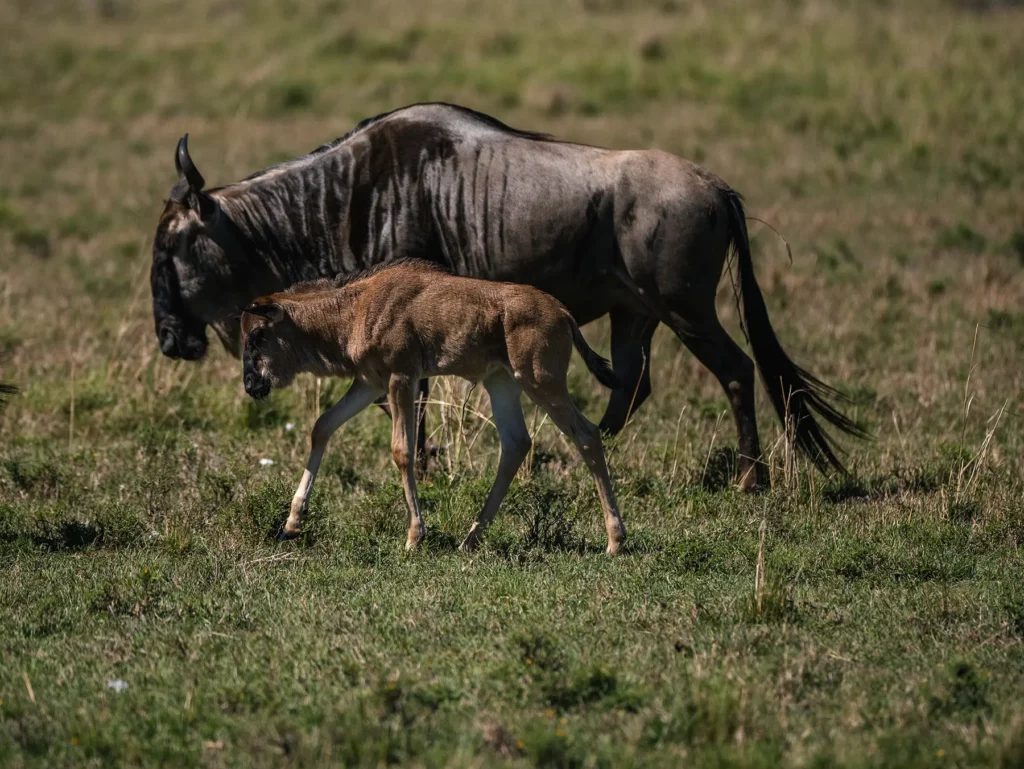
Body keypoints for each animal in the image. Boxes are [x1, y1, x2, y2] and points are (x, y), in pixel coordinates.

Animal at [240, 260, 627, 555]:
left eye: (258, 335)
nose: (250, 385)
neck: (357, 307)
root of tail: (563, 313)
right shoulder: (368, 382)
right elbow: (322, 426)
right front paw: (291, 524)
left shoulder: (401, 378)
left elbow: (403, 451)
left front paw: (415, 536)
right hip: (502, 382)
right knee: (516, 443)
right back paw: (470, 539)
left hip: (541, 381)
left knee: (587, 435)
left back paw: (615, 541)